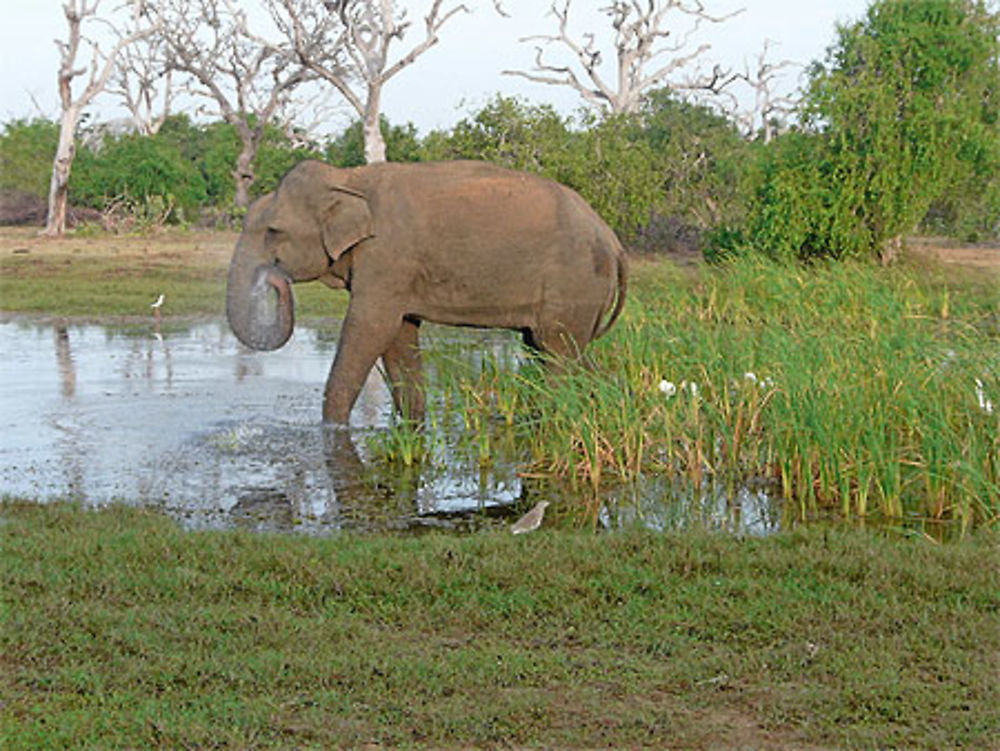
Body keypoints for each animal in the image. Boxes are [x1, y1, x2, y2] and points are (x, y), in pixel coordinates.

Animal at [227, 158, 624, 424]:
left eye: (273, 231)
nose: (274, 278)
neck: (348, 177)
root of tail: (612, 239)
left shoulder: (387, 257)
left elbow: (369, 327)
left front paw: (332, 431)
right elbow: (398, 336)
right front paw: (411, 426)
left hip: (574, 282)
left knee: (557, 353)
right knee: (561, 350)